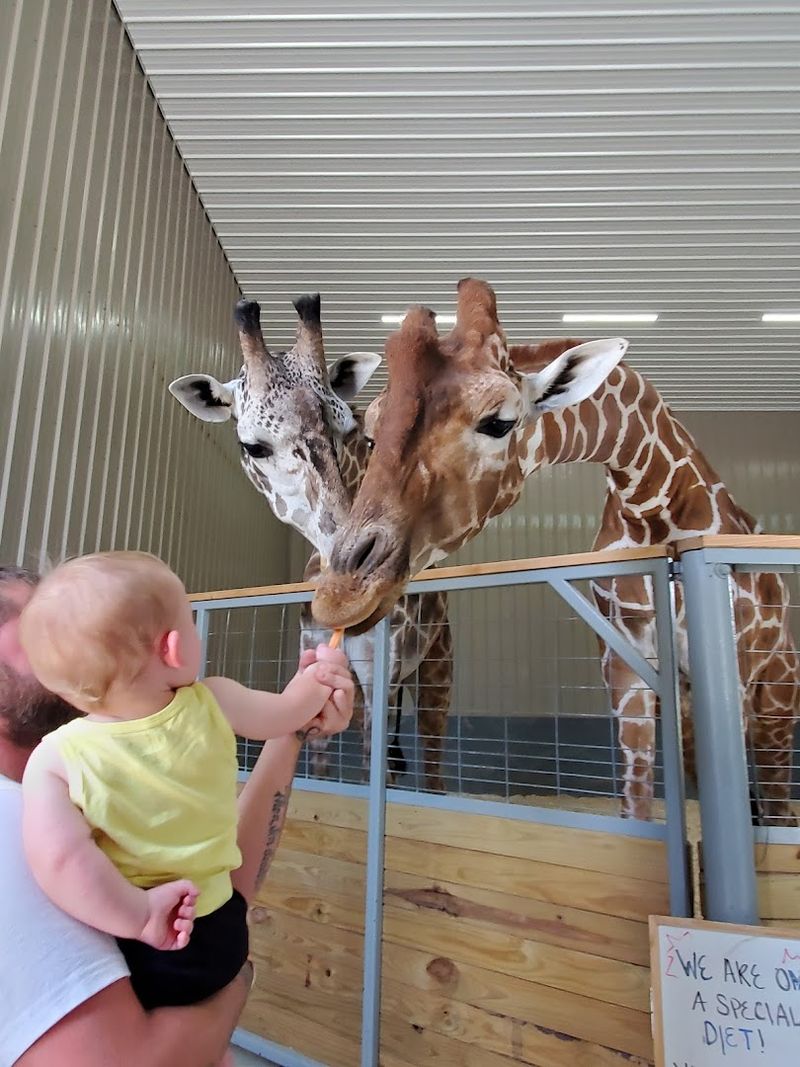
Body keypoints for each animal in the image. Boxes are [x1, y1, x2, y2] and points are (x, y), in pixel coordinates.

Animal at [169, 295, 452, 791]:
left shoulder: (381, 666)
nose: (350, 574)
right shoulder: (314, 650)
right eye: (253, 446)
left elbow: (374, 765)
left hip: (435, 669)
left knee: (430, 761)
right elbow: (317, 764)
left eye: (344, 429)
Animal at [313, 278, 799, 824]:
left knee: (778, 805)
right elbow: (637, 807)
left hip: (777, 696)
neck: (653, 508)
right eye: (372, 435)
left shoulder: (731, 670)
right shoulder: (626, 670)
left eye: (499, 423)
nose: (342, 593)